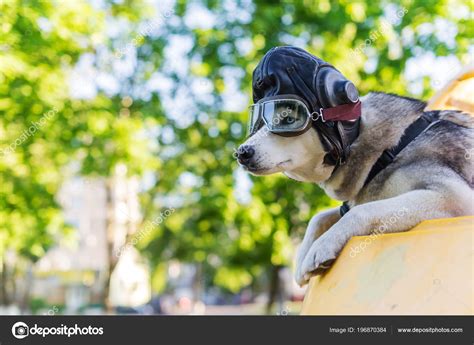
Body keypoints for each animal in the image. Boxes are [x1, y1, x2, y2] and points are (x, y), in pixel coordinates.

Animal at [237, 91, 474, 284]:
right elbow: (320, 217)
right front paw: (303, 254)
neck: (389, 151)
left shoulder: (454, 197)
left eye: (287, 119)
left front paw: (320, 247)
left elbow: (361, 211)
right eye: (256, 123)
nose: (241, 153)